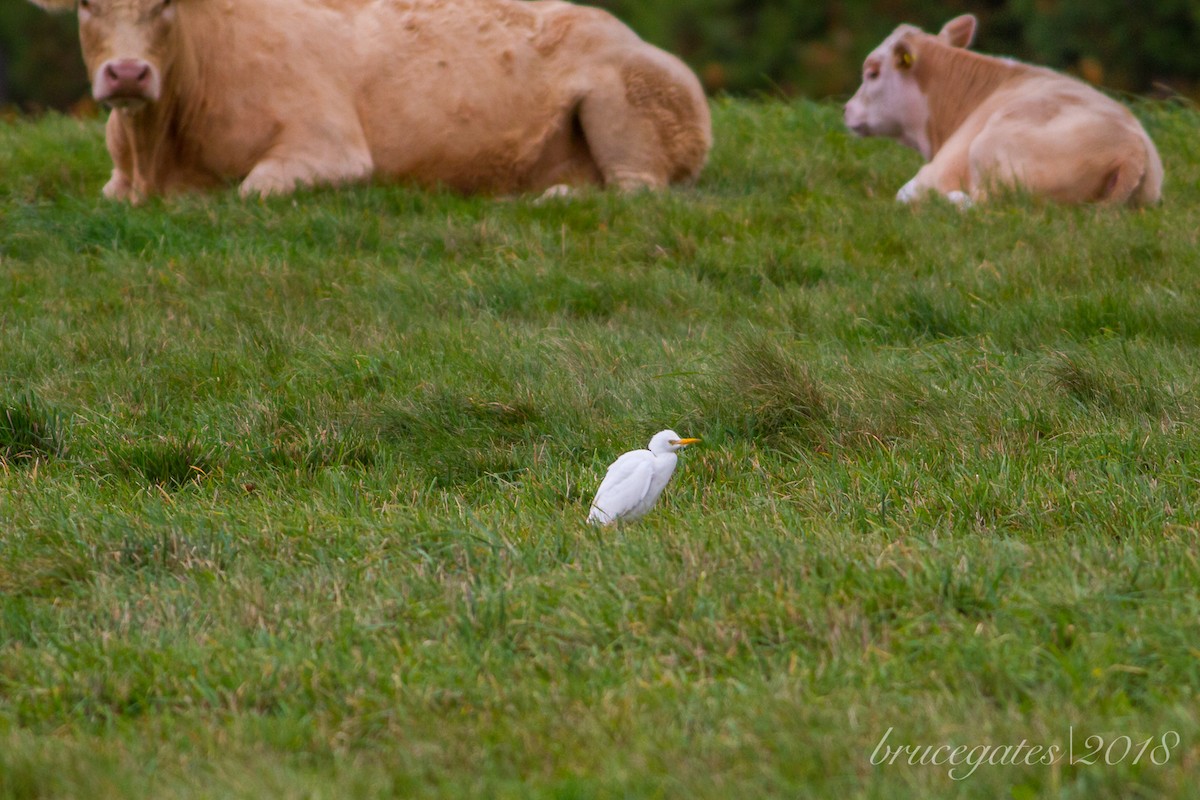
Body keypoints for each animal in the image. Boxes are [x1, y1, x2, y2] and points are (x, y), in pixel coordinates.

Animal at [25, 0, 710, 203]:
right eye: (86, 4)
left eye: (165, 4)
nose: (128, 73)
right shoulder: (116, 183)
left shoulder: (330, 147)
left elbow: (249, 190)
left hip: (623, 106)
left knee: (637, 186)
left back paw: (560, 194)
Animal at [844, 14, 1161, 208]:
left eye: (872, 72)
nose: (846, 110)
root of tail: (1132, 150)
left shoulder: (937, 170)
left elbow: (903, 194)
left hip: (990, 154)